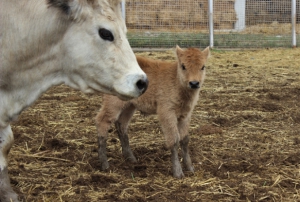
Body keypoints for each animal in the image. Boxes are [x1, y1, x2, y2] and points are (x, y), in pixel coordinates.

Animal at [95, 45, 210, 178]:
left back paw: (131, 158)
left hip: (130, 106)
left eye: (203, 66)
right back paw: (104, 164)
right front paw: (178, 172)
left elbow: (185, 139)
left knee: (121, 124)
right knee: (102, 121)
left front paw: (190, 168)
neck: (176, 80)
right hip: (113, 103)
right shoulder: (167, 113)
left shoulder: (185, 115)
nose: (194, 83)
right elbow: (174, 140)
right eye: (183, 66)